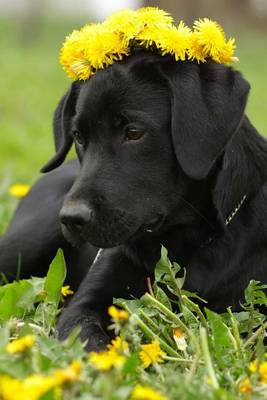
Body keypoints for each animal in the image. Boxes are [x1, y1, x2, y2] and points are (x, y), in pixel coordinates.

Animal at [0, 50, 267, 350]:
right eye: (78, 136)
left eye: (134, 132)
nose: (70, 218)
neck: (187, 245)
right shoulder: (85, 305)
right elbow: (90, 342)